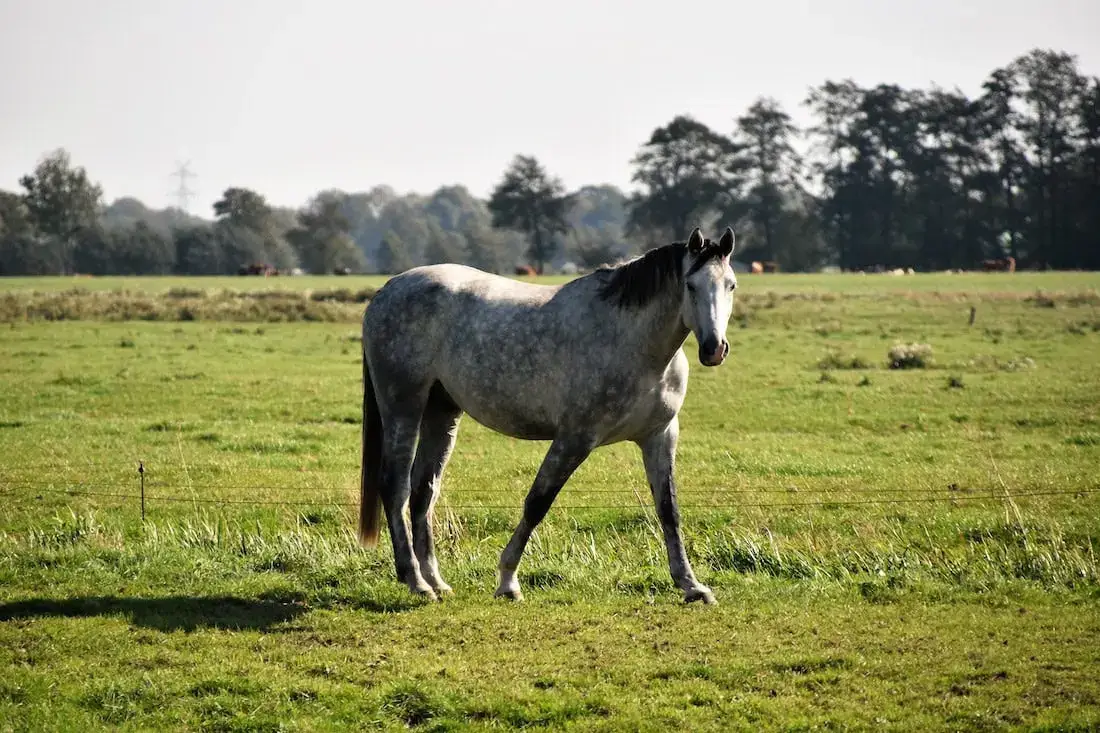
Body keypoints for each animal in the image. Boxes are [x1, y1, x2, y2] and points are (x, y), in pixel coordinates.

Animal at [358, 227, 739, 605]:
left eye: (731, 285)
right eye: (691, 286)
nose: (714, 349)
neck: (633, 342)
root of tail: (387, 290)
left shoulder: (660, 436)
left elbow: (668, 510)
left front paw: (692, 585)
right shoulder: (574, 438)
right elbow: (537, 503)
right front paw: (508, 581)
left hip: (442, 412)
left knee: (424, 491)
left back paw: (435, 580)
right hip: (403, 407)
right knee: (395, 486)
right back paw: (415, 581)